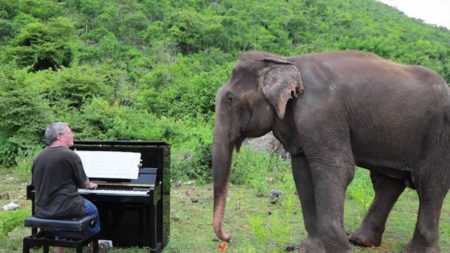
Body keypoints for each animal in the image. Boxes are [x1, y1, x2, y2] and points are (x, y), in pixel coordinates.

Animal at [212, 50, 450, 253]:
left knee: (430, 185)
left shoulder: (320, 112)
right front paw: (313, 249)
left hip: (439, 137)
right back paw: (361, 241)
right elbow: (302, 173)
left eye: (230, 99)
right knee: (389, 183)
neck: (286, 61)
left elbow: (338, 170)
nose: (228, 237)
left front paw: (340, 250)